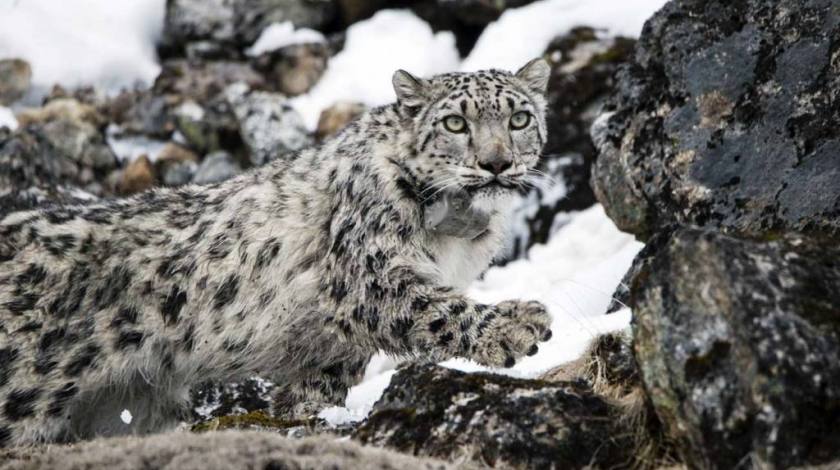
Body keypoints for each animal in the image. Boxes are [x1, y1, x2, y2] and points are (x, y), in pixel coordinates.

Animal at [1, 60, 556, 446]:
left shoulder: (332, 351)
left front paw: (300, 417)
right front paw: (517, 326)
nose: (496, 163)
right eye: (456, 124)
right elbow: (435, 308)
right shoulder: (369, 276)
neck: (458, 235)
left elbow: (313, 392)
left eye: (520, 118)